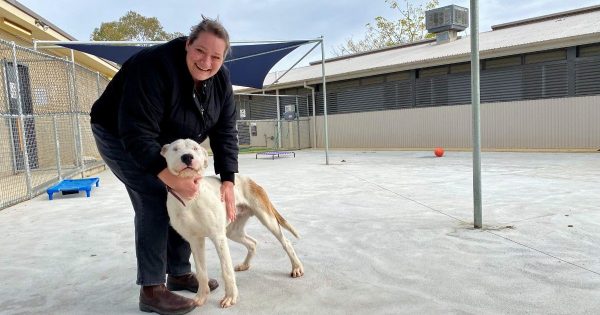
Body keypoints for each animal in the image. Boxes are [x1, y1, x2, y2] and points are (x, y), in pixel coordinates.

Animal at [161, 140, 304, 308]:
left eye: (195, 148)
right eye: (175, 149)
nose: (187, 157)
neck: (190, 198)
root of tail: (251, 180)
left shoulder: (218, 237)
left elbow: (226, 270)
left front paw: (230, 297)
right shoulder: (195, 241)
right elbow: (201, 272)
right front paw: (201, 296)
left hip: (266, 219)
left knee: (286, 242)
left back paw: (296, 267)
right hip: (232, 232)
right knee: (252, 243)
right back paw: (245, 265)